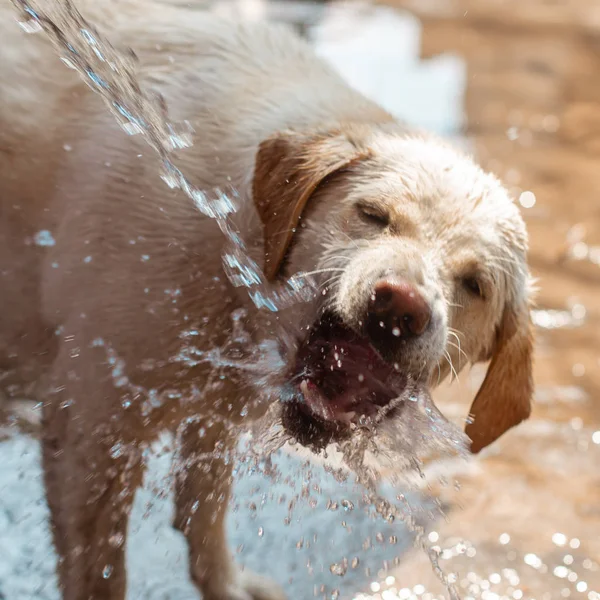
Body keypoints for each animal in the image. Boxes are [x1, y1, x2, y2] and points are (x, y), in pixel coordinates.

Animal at [0, 1, 536, 600]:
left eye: (475, 284)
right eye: (372, 214)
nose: (400, 306)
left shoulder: (213, 405)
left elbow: (204, 505)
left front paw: (224, 582)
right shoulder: (95, 428)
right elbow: (103, 571)